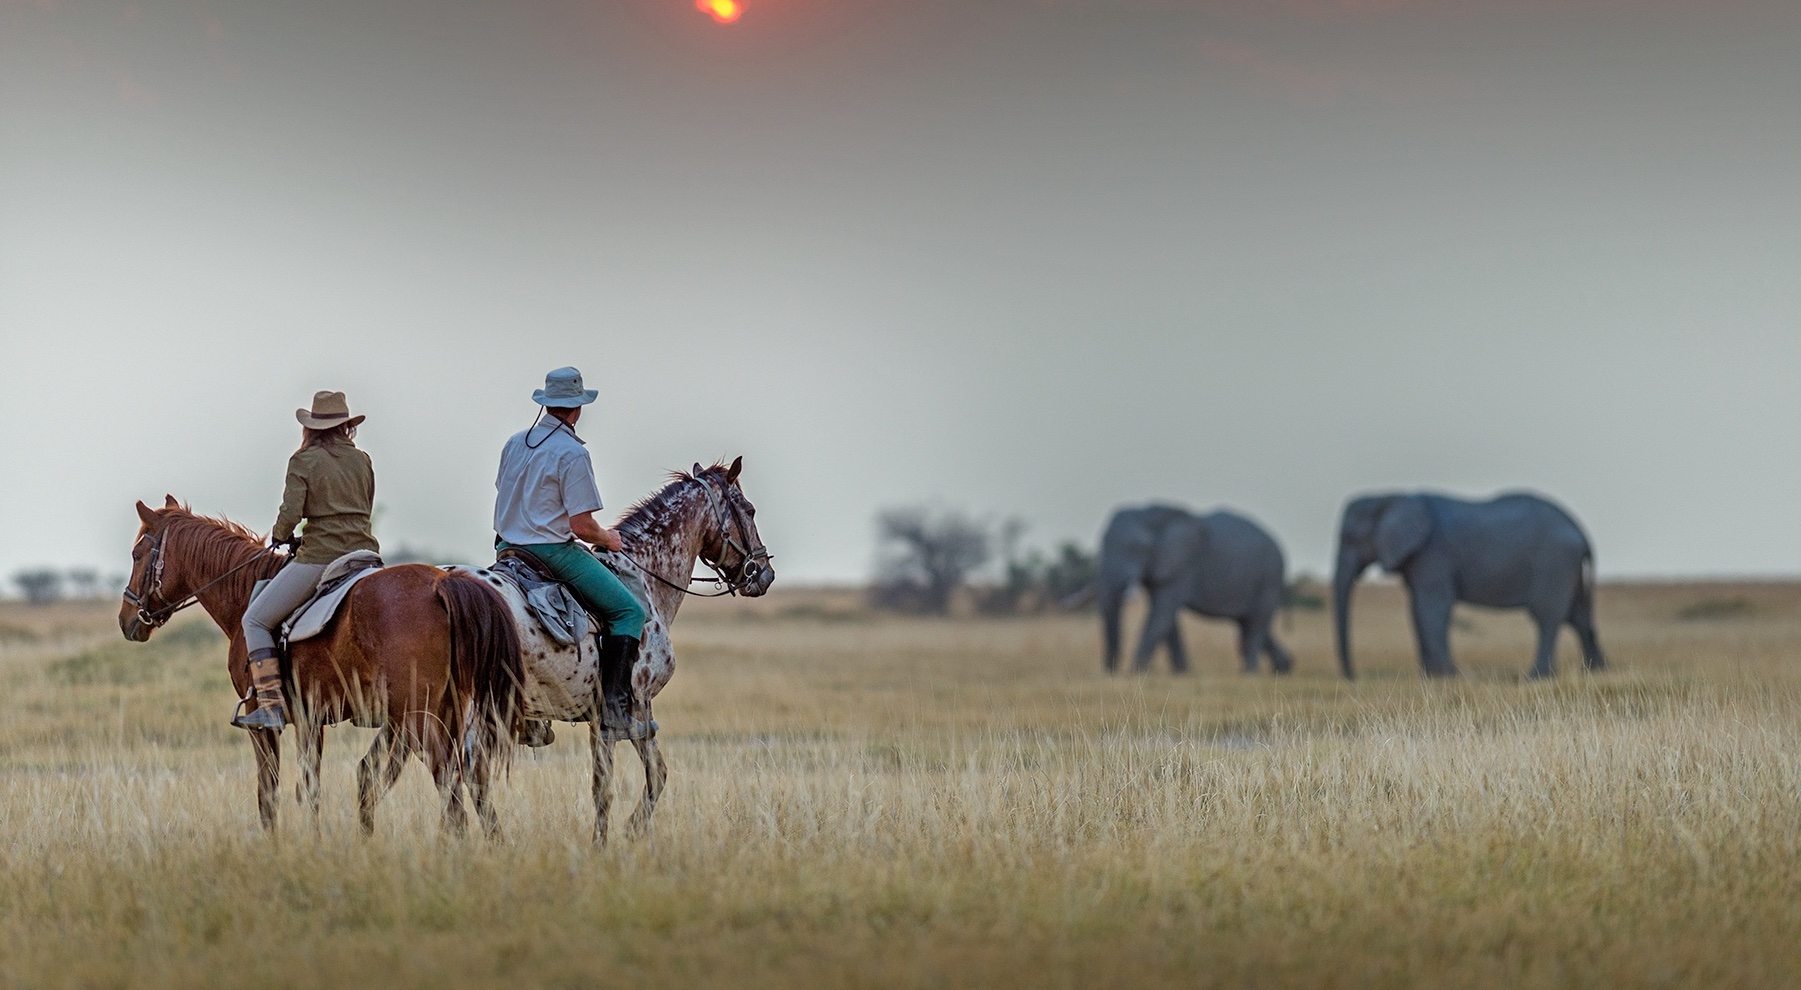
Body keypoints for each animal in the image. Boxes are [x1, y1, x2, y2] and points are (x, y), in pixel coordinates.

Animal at [121, 496, 522, 838]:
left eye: (137, 554)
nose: (127, 621)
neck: (245, 593)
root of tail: (442, 582)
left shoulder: (262, 721)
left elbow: (269, 792)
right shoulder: (310, 719)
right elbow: (310, 787)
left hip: (419, 716)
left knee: (447, 778)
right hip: (450, 709)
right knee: (470, 776)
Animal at [457, 460, 774, 846]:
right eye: (749, 510)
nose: (765, 574)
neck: (644, 577)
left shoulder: (600, 716)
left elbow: (605, 784)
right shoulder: (632, 705)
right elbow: (645, 777)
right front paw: (622, 834)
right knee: (470, 770)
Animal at [1095, 507, 1296, 680]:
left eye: (1139, 548)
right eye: (1103, 542)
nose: (1111, 673)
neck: (1151, 511)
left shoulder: (1182, 566)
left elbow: (1162, 613)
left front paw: (1136, 672)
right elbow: (1166, 619)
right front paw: (1181, 673)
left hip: (1270, 576)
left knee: (1257, 622)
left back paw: (1250, 673)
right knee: (1248, 622)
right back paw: (1284, 668)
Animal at [1332, 489, 1613, 680]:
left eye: (1350, 537)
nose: (1353, 677)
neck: (1393, 495)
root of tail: (1581, 532)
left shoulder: (1433, 553)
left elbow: (1432, 609)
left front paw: (1447, 677)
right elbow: (1416, 611)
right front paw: (1429, 678)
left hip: (1555, 562)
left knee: (1548, 617)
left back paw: (1536, 677)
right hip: (1568, 568)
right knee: (1579, 618)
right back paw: (1596, 672)